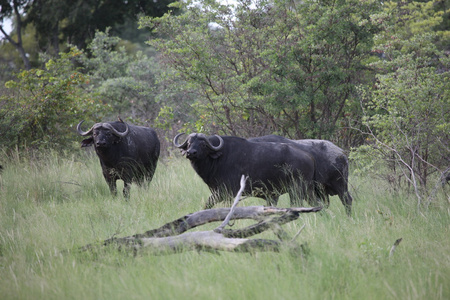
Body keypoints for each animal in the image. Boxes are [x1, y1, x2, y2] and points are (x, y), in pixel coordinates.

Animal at [172, 133, 316, 209]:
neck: (219, 158)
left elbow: (209, 203)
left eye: (202, 144)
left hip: (296, 190)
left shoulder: (225, 192)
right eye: (189, 143)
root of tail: (309, 156)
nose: (191, 152)